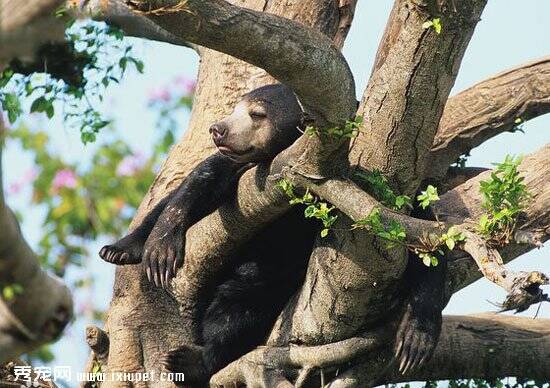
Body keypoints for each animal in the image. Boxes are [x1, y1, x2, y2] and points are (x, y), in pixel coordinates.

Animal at [98, 83, 444, 384]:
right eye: (236, 108)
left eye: (257, 114)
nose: (218, 129)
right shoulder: (241, 170)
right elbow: (200, 181)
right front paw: (159, 248)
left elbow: (423, 236)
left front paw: (416, 339)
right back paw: (120, 248)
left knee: (240, 304)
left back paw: (192, 359)